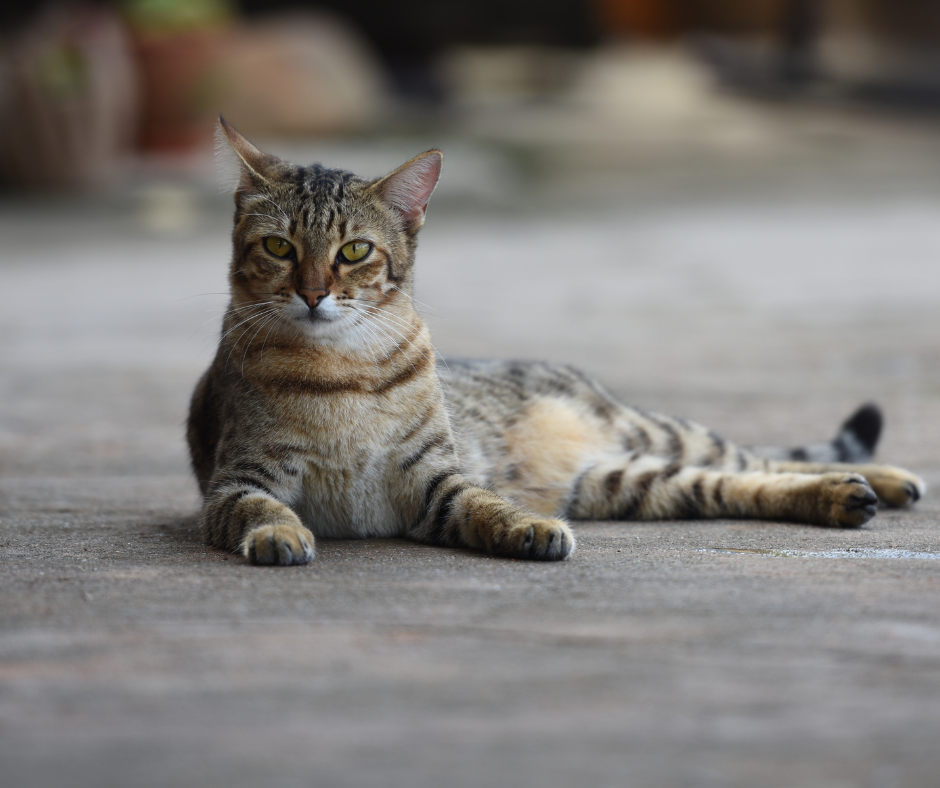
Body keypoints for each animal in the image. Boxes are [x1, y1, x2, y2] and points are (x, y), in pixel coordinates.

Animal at [189, 118, 924, 568]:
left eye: (354, 251)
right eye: (280, 248)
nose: (313, 293)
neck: (341, 368)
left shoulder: (436, 478)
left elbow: (486, 503)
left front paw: (527, 525)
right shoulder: (238, 479)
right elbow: (258, 507)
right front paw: (280, 532)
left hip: (654, 435)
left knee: (754, 456)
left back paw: (885, 481)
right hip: (630, 482)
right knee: (739, 482)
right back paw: (847, 494)